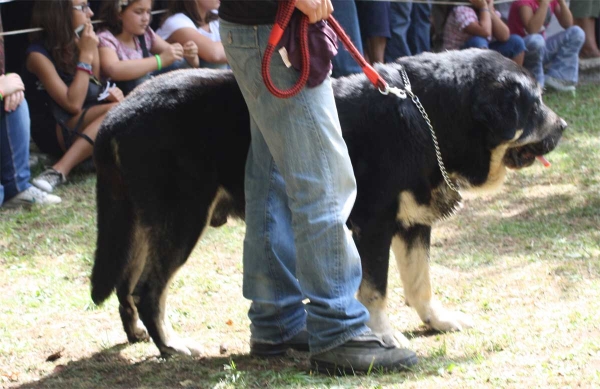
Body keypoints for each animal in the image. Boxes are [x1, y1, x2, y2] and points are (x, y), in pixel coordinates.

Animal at [90, 47, 568, 354]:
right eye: (535, 103)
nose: (562, 126)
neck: (427, 116)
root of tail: (118, 113)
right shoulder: (373, 224)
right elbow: (375, 289)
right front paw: (383, 335)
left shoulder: (413, 223)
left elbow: (420, 283)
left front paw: (436, 321)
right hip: (182, 218)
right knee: (149, 289)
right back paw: (170, 345)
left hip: (138, 221)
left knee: (124, 283)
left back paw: (136, 335)